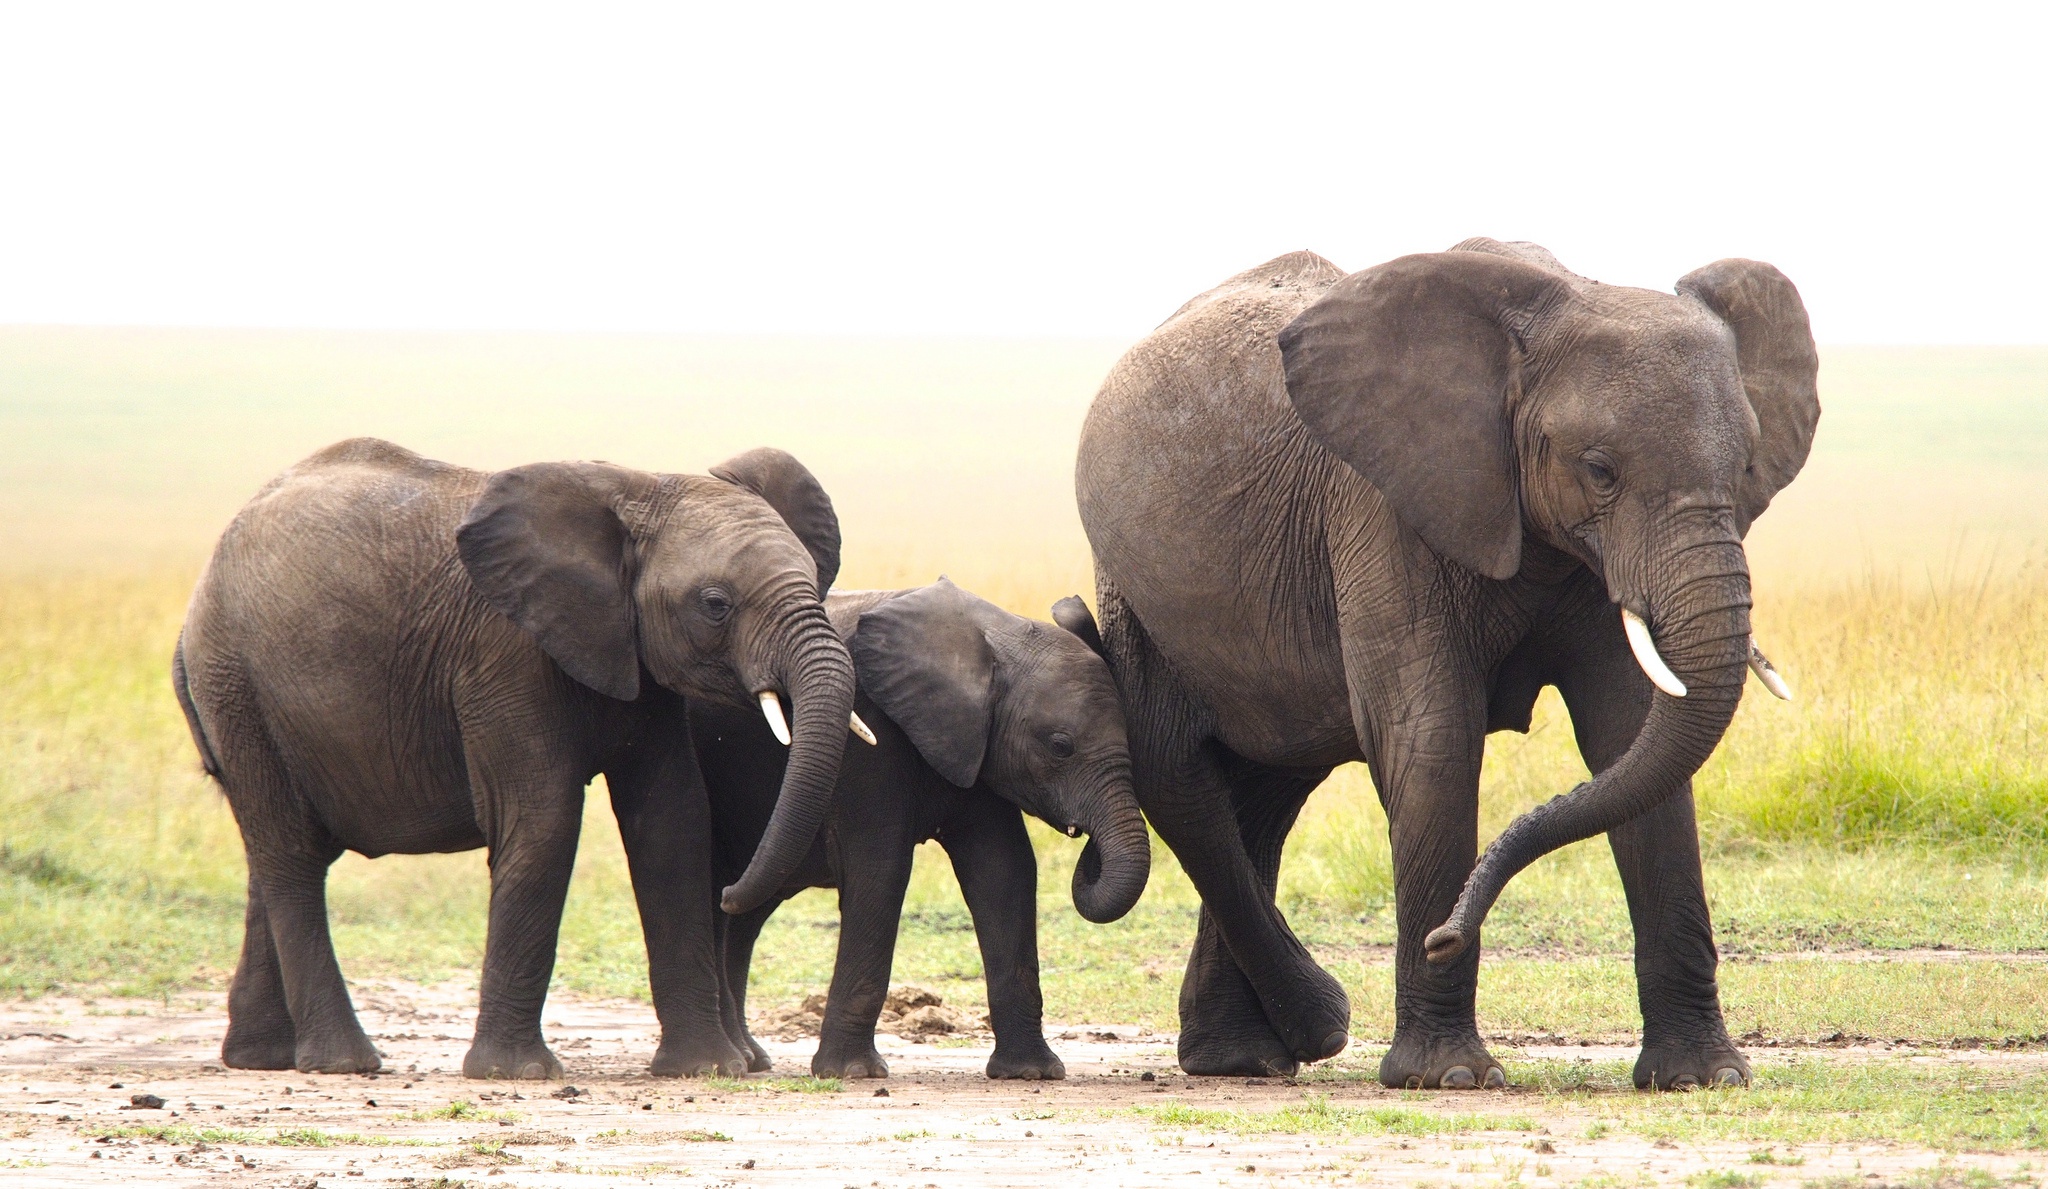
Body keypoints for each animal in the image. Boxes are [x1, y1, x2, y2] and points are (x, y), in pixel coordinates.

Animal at [167, 439, 856, 1080]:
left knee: (276, 853)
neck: (638, 487)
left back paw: (260, 1057)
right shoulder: (505, 655)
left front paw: (705, 1069)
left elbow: (672, 822)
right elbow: (544, 821)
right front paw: (514, 1074)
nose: (734, 894)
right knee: (291, 855)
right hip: (237, 687)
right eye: (715, 604)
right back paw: (345, 1063)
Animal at [692, 573, 1155, 1072]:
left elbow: (1004, 871)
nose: (1084, 838)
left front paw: (1032, 1072)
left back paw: (750, 1057)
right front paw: (853, 1072)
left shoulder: (974, 741)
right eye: (1060, 746)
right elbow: (882, 870)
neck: (993, 637)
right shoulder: (867, 737)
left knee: (745, 915)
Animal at [1081, 238, 1818, 1088]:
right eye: (1600, 469)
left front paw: (1702, 1076)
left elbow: (1629, 738)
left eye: (1745, 468)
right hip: (1135, 590)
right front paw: (1449, 1076)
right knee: (1180, 773)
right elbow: (1431, 738)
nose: (1445, 934)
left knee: (1266, 790)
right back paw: (1302, 1033)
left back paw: (1246, 1058)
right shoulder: (1382, 507)